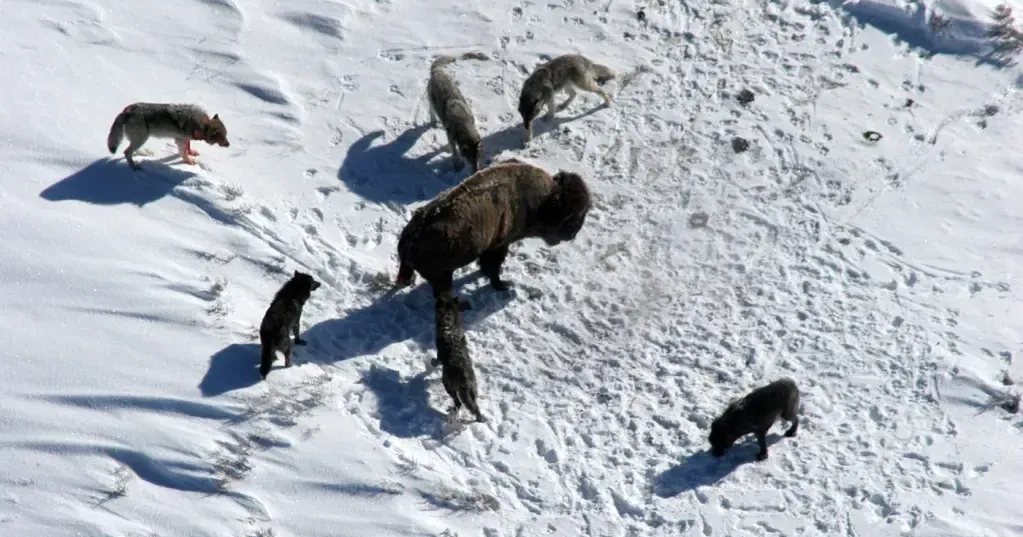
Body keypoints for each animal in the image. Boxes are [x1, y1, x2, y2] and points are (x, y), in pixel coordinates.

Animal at [394, 161, 592, 304]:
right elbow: (493, 268)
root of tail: (411, 236)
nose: (573, 235)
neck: (541, 203)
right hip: (443, 276)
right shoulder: (498, 246)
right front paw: (503, 285)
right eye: (572, 218)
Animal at [433, 293, 486, 423]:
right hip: (472, 389)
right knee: (474, 405)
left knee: (458, 402)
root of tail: (464, 376)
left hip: (448, 384)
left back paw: (453, 409)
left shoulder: (439, 353)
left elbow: (437, 360)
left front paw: (432, 362)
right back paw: (479, 418)